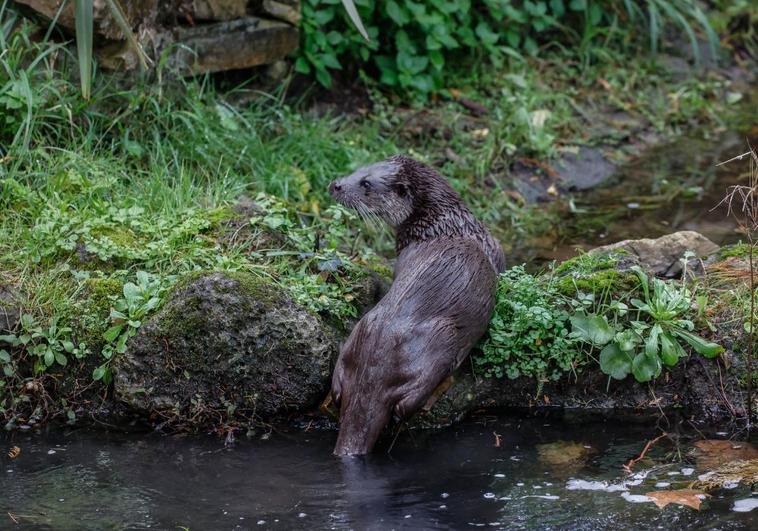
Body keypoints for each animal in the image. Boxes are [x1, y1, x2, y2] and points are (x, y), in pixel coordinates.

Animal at [330, 155, 508, 458]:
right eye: (357, 171)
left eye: (366, 183)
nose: (336, 184)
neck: (440, 224)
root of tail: (374, 367)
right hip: (438, 340)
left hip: (361, 334)